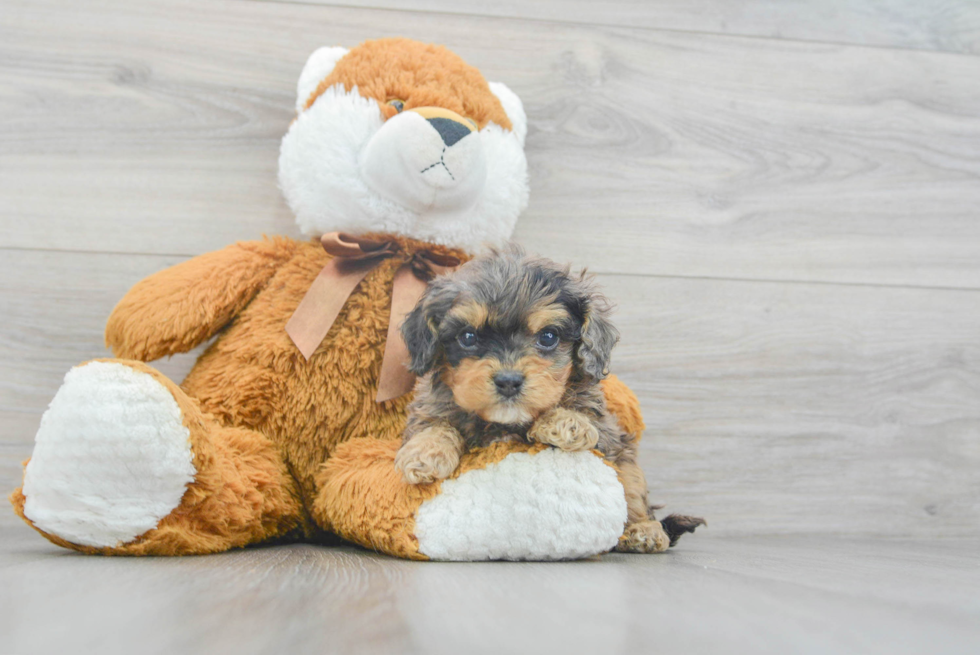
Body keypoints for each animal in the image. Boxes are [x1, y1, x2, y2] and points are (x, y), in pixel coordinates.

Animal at [394, 246, 700, 552]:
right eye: (468, 336)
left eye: (548, 336)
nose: (508, 381)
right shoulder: (430, 405)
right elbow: (434, 424)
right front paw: (425, 453)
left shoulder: (609, 434)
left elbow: (596, 435)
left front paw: (566, 422)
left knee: (634, 492)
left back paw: (644, 531)